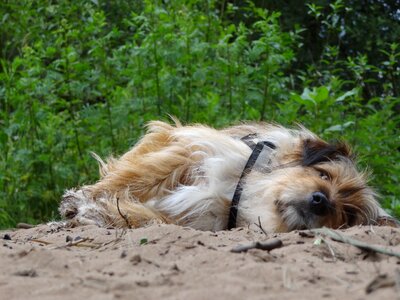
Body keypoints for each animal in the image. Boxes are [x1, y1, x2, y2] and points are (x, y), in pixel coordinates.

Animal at [60, 119, 396, 232]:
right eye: (324, 175)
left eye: (346, 214)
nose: (321, 201)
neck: (244, 193)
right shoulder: (193, 149)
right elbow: (139, 176)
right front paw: (85, 198)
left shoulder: (197, 218)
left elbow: (142, 217)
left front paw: (97, 212)